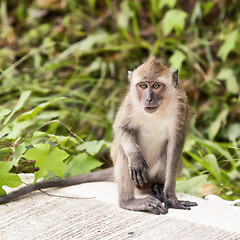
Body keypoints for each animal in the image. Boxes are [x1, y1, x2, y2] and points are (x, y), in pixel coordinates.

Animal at [0, 57, 197, 215]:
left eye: (156, 85)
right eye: (143, 86)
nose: (148, 98)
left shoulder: (181, 104)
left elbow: (175, 146)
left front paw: (171, 198)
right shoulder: (130, 101)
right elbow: (121, 128)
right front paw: (135, 157)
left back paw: (157, 187)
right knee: (123, 153)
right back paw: (129, 201)